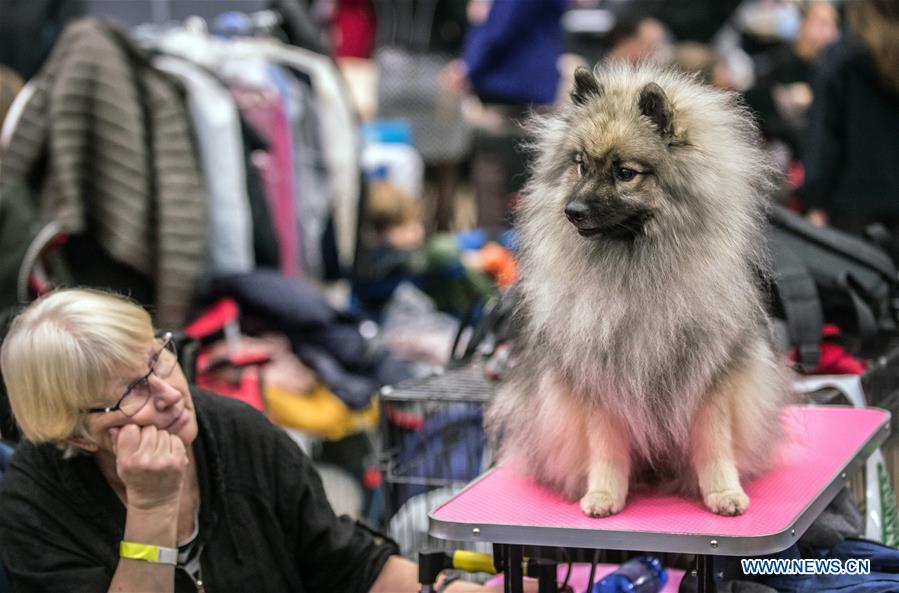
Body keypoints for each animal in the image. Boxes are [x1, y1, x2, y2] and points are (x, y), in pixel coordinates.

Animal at [488, 62, 792, 516]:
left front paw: (724, 492)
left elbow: (715, 442)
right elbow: (606, 447)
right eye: (580, 165)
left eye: (625, 173)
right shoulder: (602, 381)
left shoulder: (711, 377)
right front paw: (602, 495)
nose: (572, 210)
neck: (636, 269)